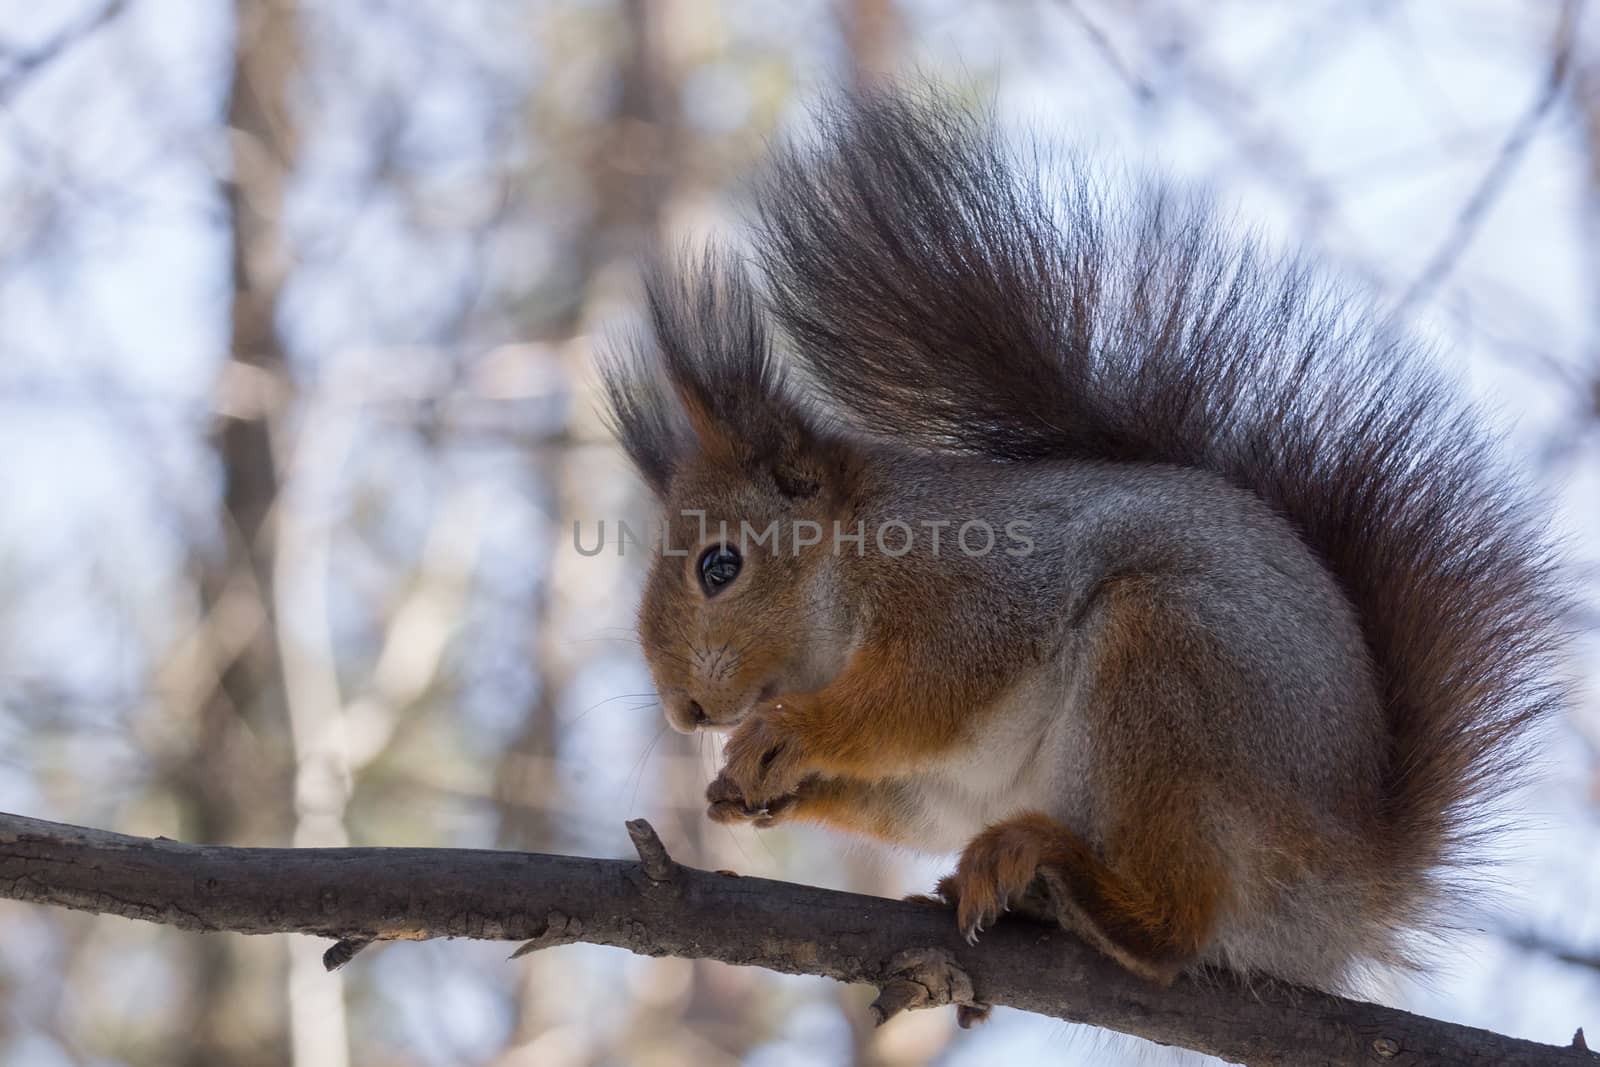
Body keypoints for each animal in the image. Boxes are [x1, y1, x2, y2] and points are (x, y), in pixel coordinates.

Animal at [598, 89, 1561, 991]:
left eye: (721, 566)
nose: (683, 710)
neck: (845, 571)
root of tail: (1347, 898)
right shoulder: (935, 785)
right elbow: (904, 792)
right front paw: (751, 789)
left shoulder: (971, 587)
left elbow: (925, 690)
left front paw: (790, 732)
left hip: (1174, 668)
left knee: (1178, 925)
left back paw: (1072, 879)